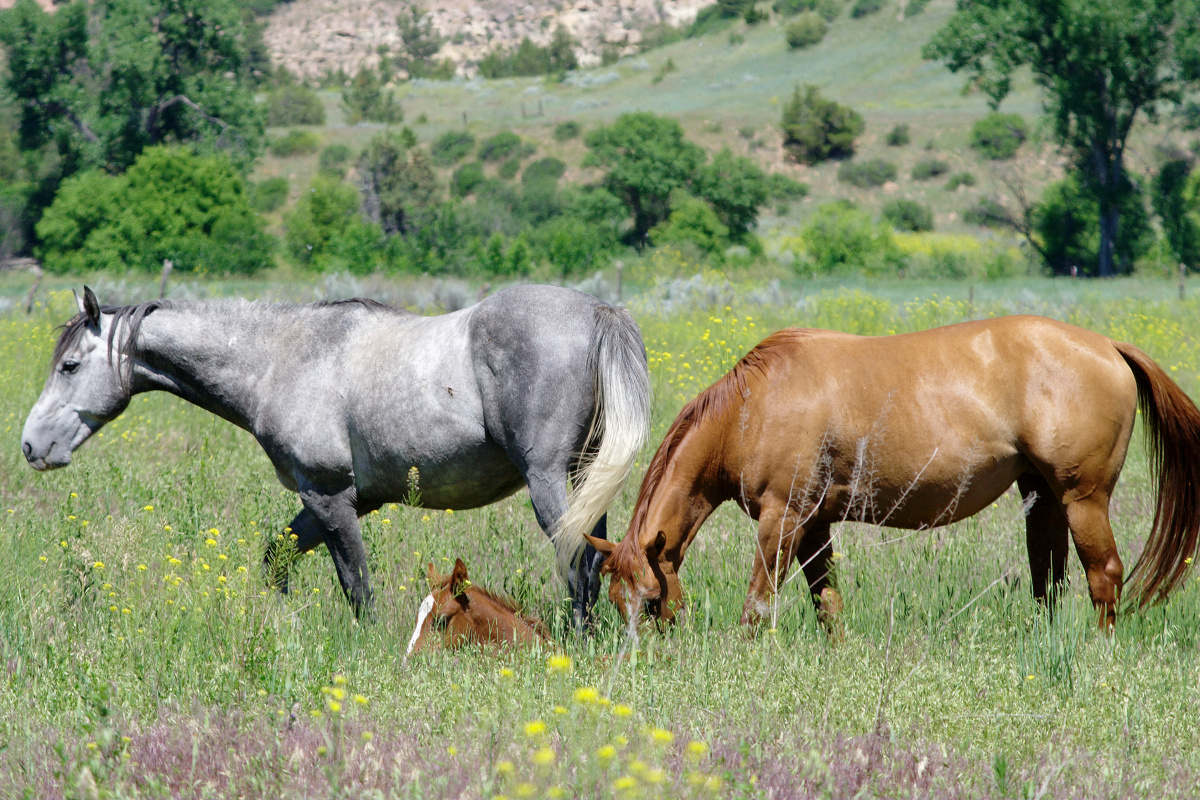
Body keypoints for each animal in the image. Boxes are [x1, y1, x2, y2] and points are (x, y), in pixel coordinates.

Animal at [23, 284, 652, 623]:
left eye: (70, 366)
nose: (31, 446)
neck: (280, 359)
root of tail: (599, 312)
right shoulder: (334, 502)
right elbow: (276, 560)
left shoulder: (329, 498)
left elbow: (357, 586)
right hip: (586, 479)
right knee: (596, 559)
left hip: (549, 482)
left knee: (576, 562)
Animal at [585, 316, 1200, 633]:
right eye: (615, 602)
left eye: (648, 602)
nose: (646, 660)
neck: (753, 406)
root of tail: (1108, 346)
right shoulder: (814, 525)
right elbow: (827, 602)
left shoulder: (781, 519)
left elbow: (758, 605)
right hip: (1044, 498)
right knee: (1048, 580)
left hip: (1082, 499)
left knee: (1105, 576)